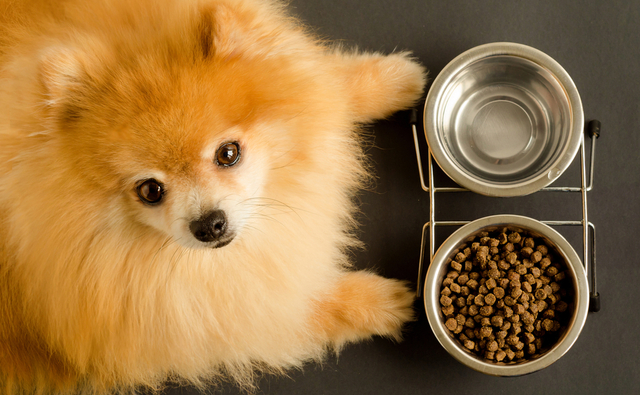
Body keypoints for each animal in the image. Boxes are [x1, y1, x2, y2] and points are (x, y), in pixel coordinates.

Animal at [0, 0, 428, 392]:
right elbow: (282, 310)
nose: (208, 225)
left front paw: (394, 80)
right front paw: (383, 303)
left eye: (228, 153)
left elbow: (322, 84)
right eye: (150, 190)